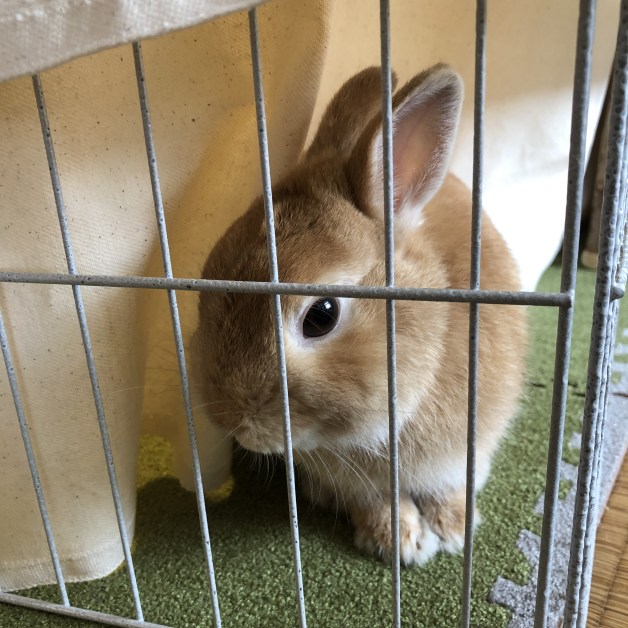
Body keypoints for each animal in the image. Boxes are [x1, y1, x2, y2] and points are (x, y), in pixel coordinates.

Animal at [193, 64, 527, 566]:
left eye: (321, 316)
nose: (234, 422)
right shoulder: (354, 480)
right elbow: (375, 501)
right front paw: (398, 541)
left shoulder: (464, 451)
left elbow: (447, 486)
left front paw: (453, 529)